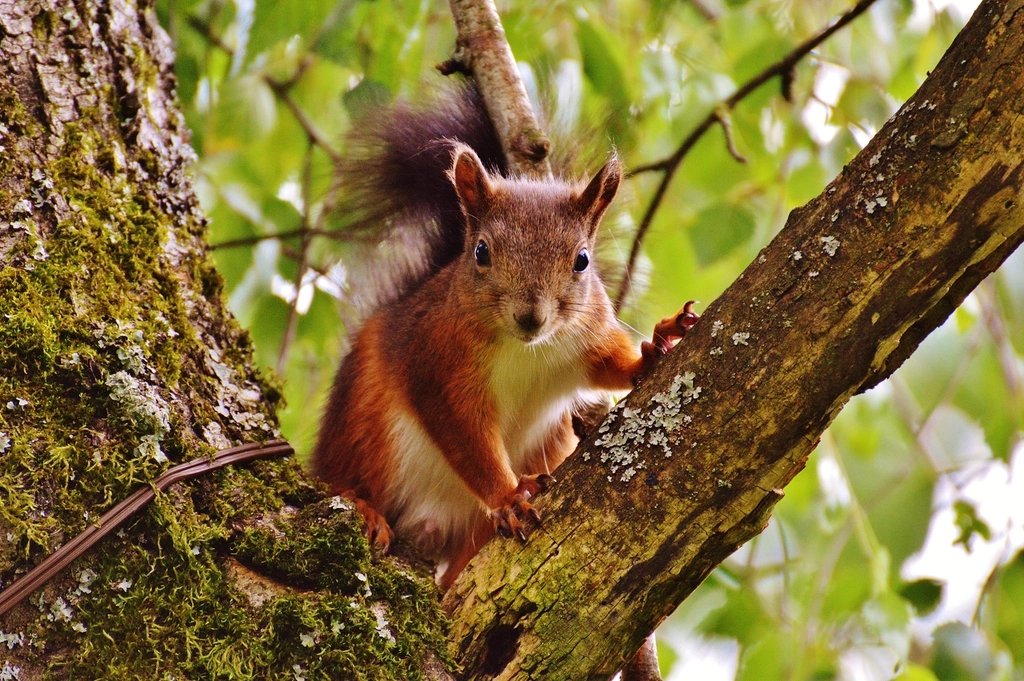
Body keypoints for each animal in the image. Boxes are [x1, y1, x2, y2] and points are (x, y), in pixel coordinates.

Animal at [312, 84, 698, 589]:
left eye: (582, 260)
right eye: (481, 252)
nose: (530, 318)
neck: (527, 350)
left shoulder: (587, 339)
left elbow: (610, 366)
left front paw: (655, 348)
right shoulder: (439, 368)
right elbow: (467, 439)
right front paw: (509, 496)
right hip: (362, 422)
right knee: (340, 478)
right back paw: (365, 509)